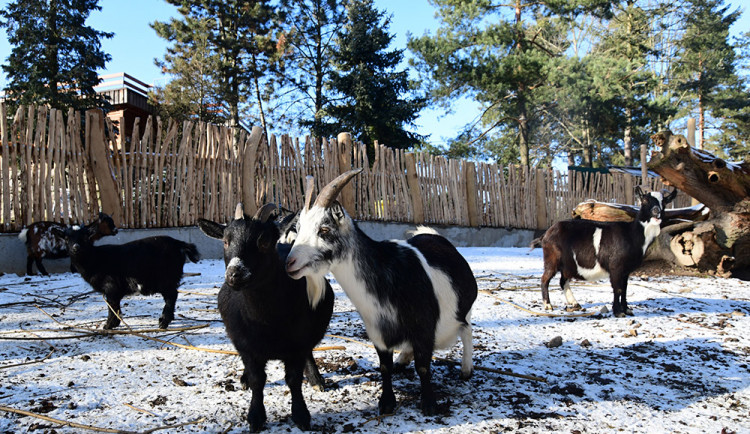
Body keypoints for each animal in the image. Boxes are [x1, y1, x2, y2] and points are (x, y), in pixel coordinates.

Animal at [53, 227, 200, 328]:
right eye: (66, 239)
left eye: (85, 237)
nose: (76, 247)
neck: (95, 258)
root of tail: (178, 243)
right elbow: (115, 306)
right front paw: (113, 324)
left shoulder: (111, 287)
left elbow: (112, 306)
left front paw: (108, 325)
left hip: (166, 278)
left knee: (171, 296)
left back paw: (164, 321)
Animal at [198, 204, 334, 434]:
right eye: (225, 241)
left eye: (263, 241)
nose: (235, 274)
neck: (267, 321)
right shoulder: (246, 345)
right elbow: (257, 380)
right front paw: (255, 416)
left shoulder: (297, 345)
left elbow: (293, 379)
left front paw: (301, 415)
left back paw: (316, 379)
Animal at [284, 170, 478, 418]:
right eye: (298, 230)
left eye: (324, 229)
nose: (290, 263)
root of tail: (434, 235)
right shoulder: (378, 332)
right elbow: (385, 367)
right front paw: (386, 403)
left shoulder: (424, 327)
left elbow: (424, 367)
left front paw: (429, 404)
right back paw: (403, 359)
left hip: (464, 309)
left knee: (467, 329)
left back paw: (466, 369)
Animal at [536, 185, 680, 318]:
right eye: (644, 200)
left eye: (664, 202)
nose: (656, 211)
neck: (632, 234)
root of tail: (546, 234)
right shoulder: (615, 267)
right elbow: (618, 288)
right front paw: (618, 312)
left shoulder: (626, 270)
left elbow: (625, 288)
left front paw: (627, 309)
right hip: (552, 259)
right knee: (545, 279)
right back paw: (548, 305)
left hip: (567, 264)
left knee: (563, 280)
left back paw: (575, 303)